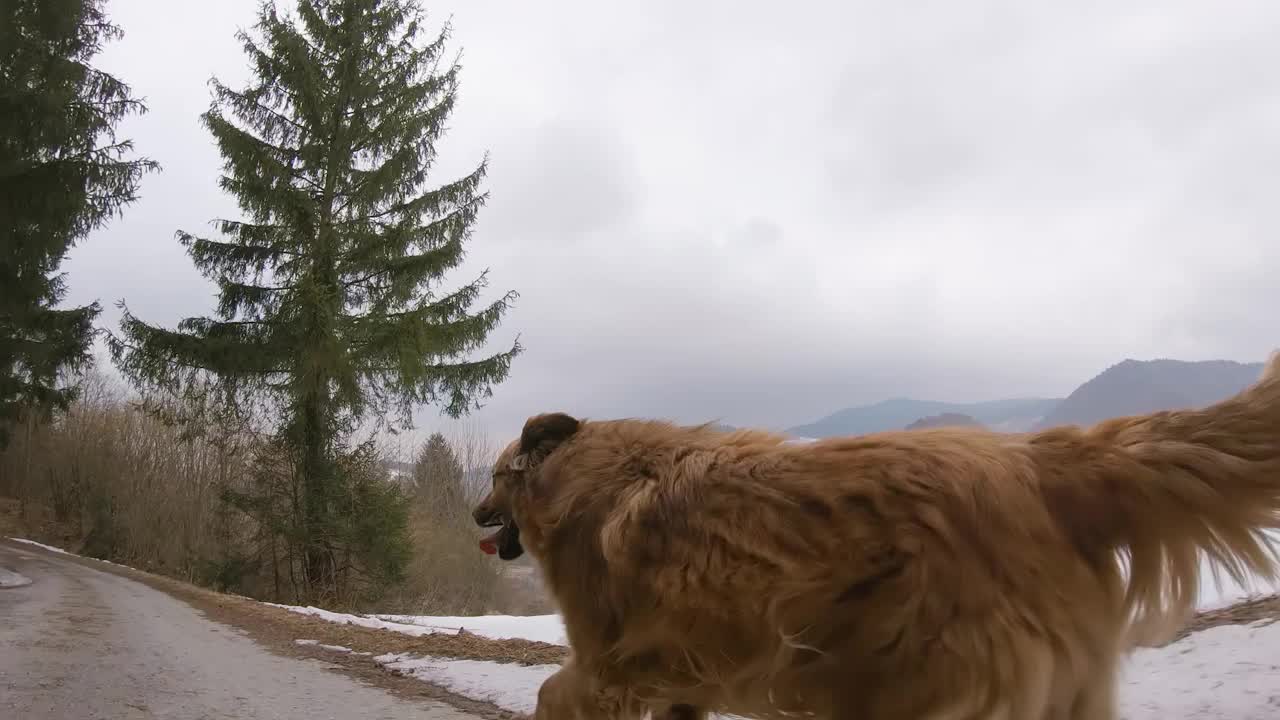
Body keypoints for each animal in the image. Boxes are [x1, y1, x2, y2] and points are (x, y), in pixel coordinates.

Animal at [476, 351, 1280, 712]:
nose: (475, 514)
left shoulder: (611, 660)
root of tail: (1033, 462)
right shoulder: (678, 675)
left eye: (493, 478)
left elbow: (552, 691)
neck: (583, 474)